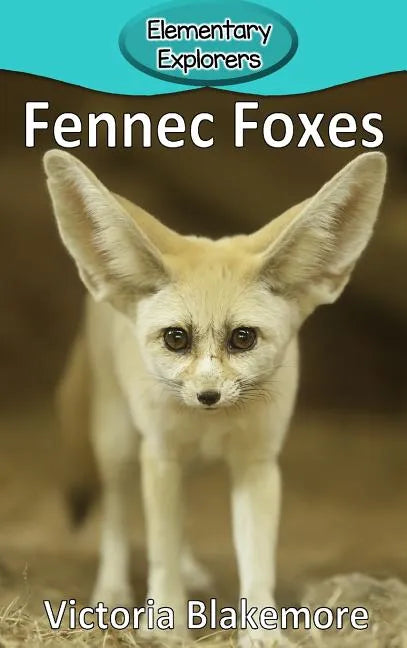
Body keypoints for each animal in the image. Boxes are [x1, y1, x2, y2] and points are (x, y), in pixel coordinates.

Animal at [44, 149, 386, 647]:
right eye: (176, 338)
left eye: (243, 338)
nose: (208, 394)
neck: (210, 424)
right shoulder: (160, 454)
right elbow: (160, 550)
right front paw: (167, 622)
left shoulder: (257, 463)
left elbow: (256, 559)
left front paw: (262, 632)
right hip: (119, 445)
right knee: (116, 515)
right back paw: (111, 589)